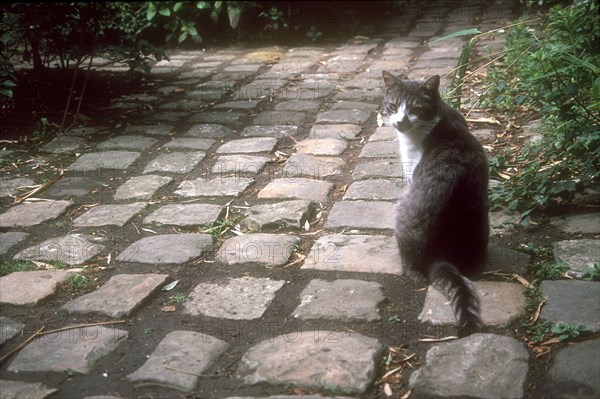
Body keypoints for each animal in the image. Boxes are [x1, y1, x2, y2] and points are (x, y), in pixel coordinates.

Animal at [382, 72, 490, 338]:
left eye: (415, 109)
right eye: (393, 106)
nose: (399, 122)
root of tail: (441, 254)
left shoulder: (411, 173)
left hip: (403, 214)